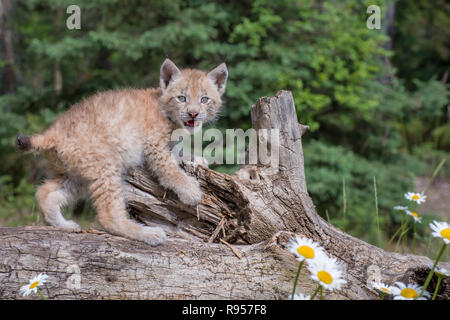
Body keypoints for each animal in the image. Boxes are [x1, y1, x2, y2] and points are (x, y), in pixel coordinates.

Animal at [16, 58, 229, 246]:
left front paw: (198, 161)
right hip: (106, 164)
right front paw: (190, 190)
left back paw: (64, 225)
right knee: (107, 215)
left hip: (77, 174)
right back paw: (147, 233)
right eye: (181, 98)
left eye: (204, 100)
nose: (193, 113)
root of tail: (53, 130)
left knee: (44, 193)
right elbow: (170, 170)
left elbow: (179, 155)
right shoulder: (154, 147)